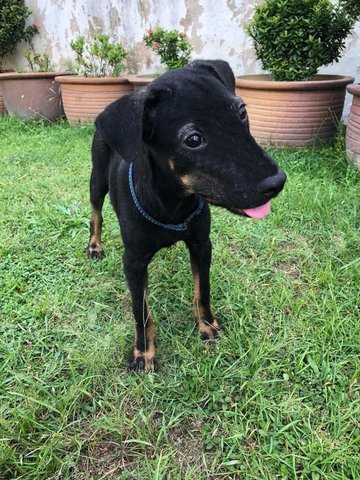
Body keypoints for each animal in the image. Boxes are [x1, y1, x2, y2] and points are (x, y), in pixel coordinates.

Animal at [86, 60, 286, 374]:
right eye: (193, 140)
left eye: (242, 111)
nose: (277, 182)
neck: (174, 204)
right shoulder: (134, 261)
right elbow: (140, 309)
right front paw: (143, 352)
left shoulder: (201, 244)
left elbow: (202, 289)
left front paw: (207, 325)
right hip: (97, 178)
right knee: (96, 212)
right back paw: (95, 245)